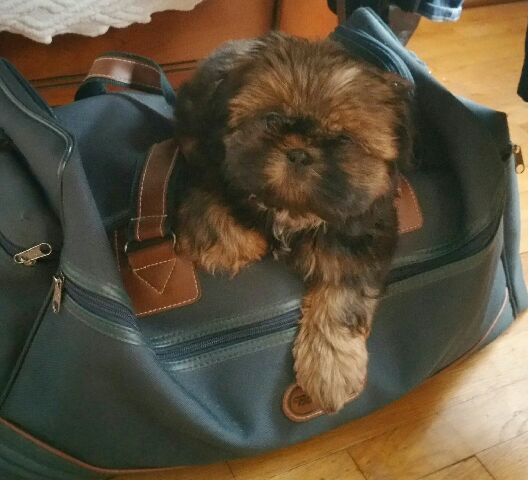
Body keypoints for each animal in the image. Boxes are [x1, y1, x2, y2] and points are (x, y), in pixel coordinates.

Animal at [172, 33, 412, 412]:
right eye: (271, 119)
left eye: (343, 139)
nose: (298, 152)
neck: (295, 211)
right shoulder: (208, 160)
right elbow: (210, 201)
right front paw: (237, 242)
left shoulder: (364, 235)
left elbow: (343, 293)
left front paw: (331, 367)